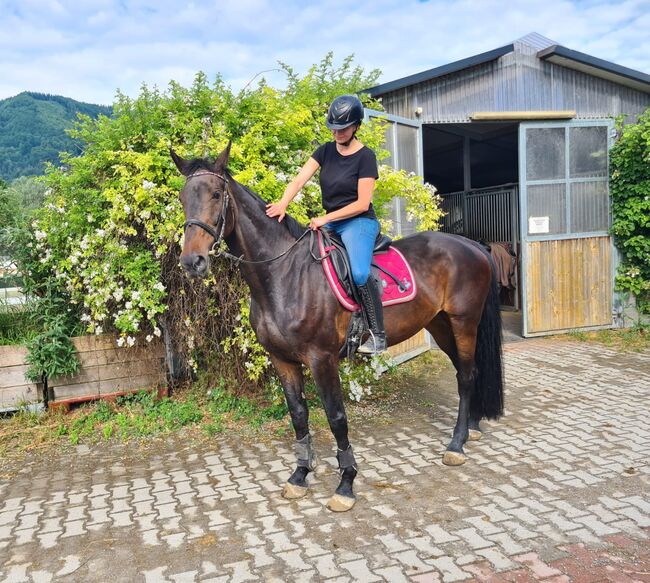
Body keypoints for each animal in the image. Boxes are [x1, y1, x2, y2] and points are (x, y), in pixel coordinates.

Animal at [171, 145, 502, 512]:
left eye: (216, 194)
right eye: (183, 198)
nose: (192, 262)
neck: (284, 273)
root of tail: (472, 246)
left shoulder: (322, 359)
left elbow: (336, 417)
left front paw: (346, 483)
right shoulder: (282, 360)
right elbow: (299, 414)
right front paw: (300, 475)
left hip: (463, 322)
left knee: (466, 375)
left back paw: (456, 444)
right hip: (441, 324)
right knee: (466, 371)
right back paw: (471, 427)